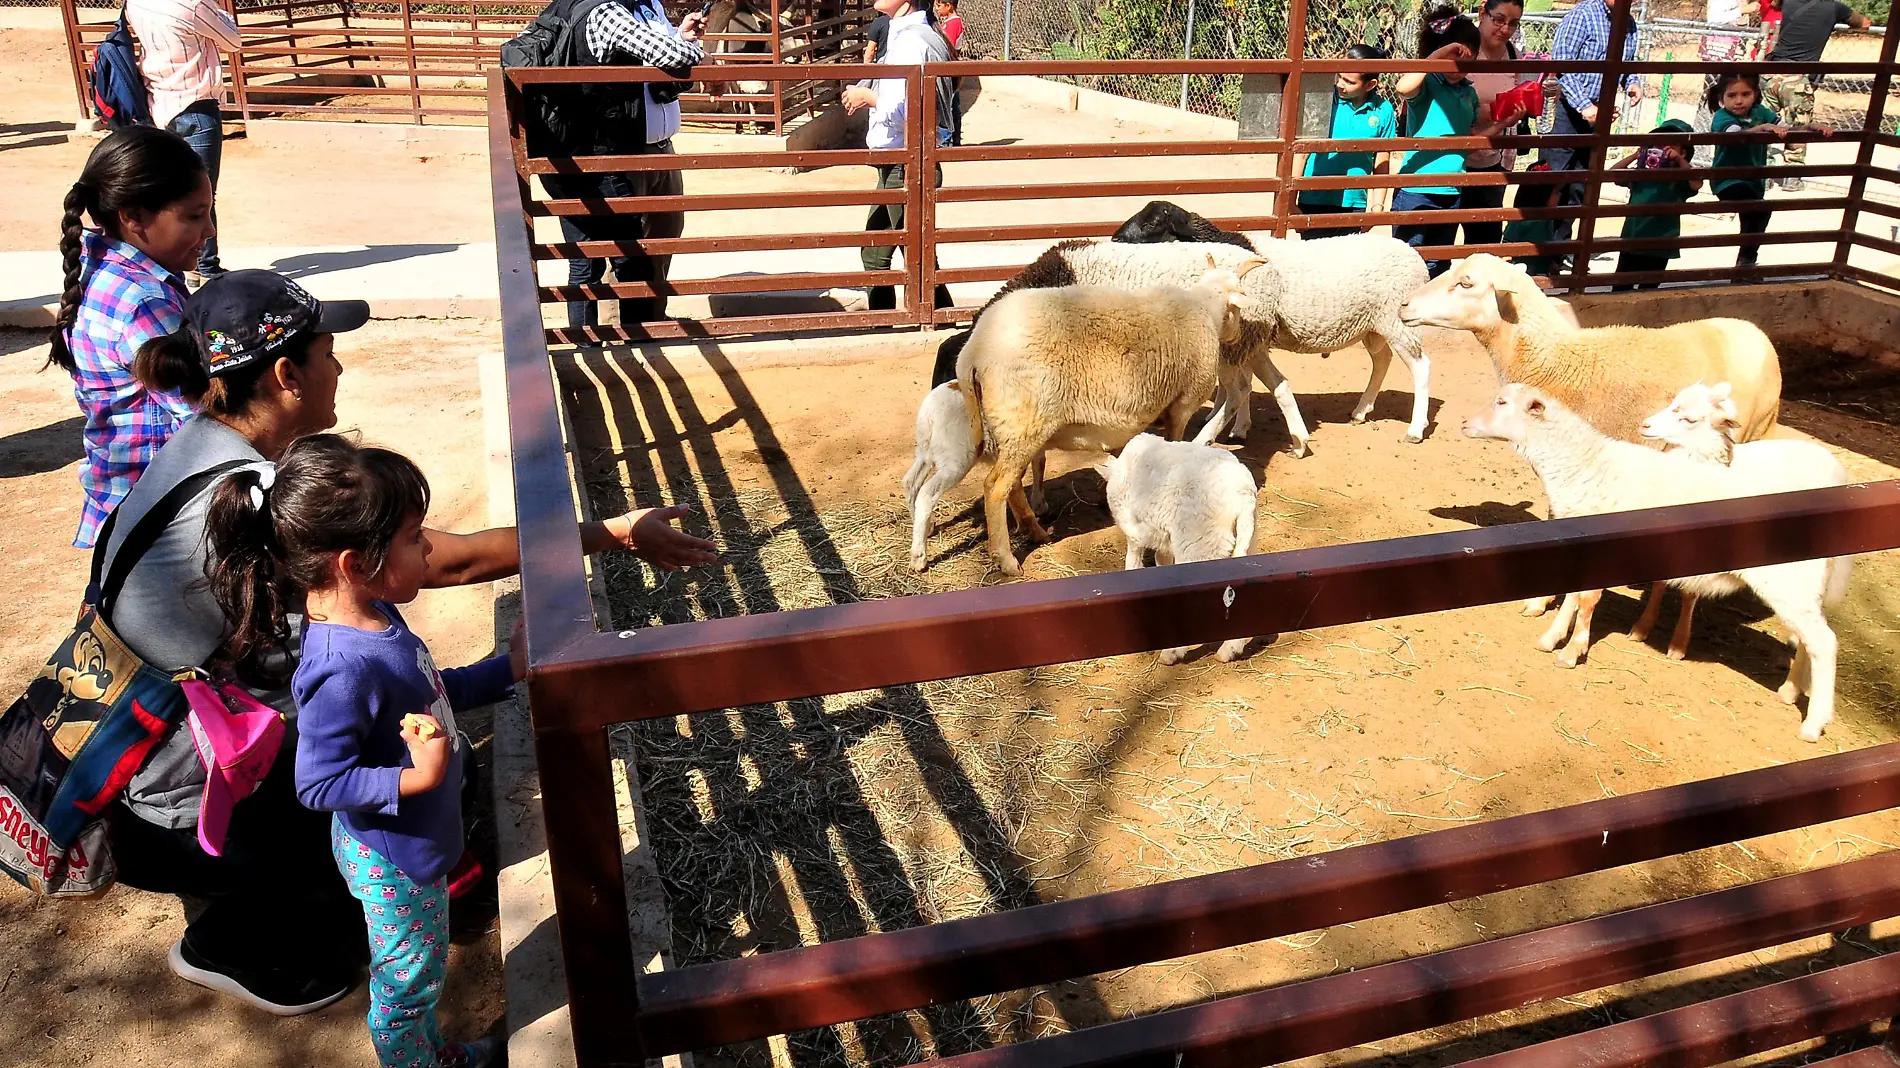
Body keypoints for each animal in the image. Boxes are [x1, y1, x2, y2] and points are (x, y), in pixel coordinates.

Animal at [896, 378, 1048, 570]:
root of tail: (930, 409)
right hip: (956, 461)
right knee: (926, 493)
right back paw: (919, 558)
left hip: (925, 453)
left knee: (910, 482)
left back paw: (926, 528)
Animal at [950, 260, 1261, 570]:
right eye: (1239, 306)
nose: (1237, 336)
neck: (1205, 308)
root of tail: (972, 352)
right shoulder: (1182, 404)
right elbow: (1173, 441)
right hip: (1022, 421)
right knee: (996, 487)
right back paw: (1006, 559)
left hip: (1012, 428)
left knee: (1012, 485)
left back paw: (1036, 532)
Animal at [1102, 427, 1261, 661]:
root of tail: (1242, 498)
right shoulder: (1163, 537)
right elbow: (1162, 562)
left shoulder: (1133, 529)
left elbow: (1133, 561)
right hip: (1246, 541)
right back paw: (1228, 651)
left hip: (1199, 545)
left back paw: (1172, 653)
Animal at [1634, 378, 1854, 661]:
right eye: (1673, 403)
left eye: (1690, 419)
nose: (1645, 425)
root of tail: (1834, 461)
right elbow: (1659, 582)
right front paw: (1642, 627)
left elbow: (1690, 593)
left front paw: (1679, 644)